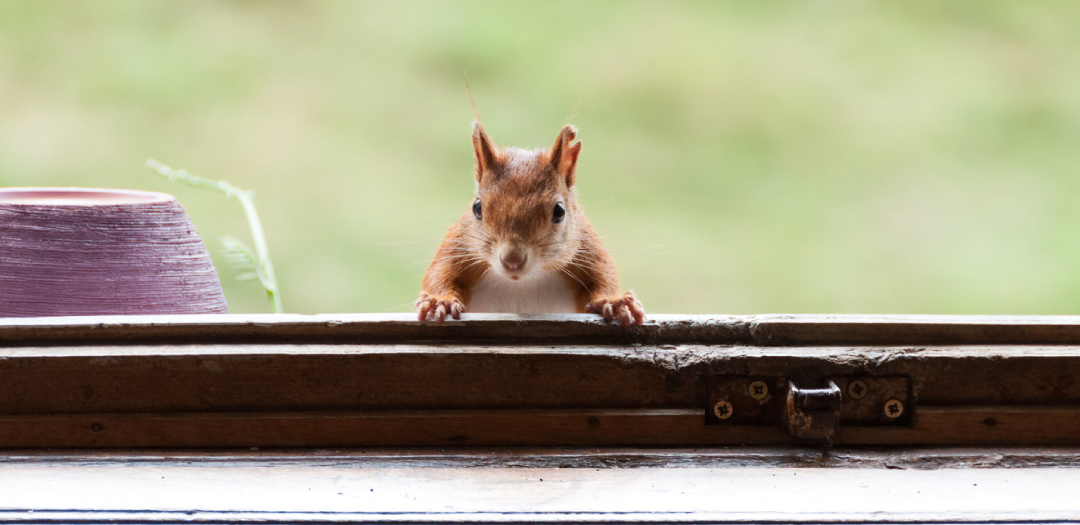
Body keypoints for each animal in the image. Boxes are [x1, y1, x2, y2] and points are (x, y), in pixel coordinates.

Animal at [416, 123, 643, 328]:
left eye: (559, 211)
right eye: (477, 207)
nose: (513, 261)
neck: (522, 283)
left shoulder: (586, 249)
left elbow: (603, 277)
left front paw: (614, 302)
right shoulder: (458, 246)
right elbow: (439, 274)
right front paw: (440, 302)